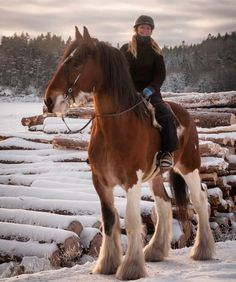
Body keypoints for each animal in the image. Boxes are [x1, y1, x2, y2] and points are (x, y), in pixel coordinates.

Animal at [43, 27, 215, 280]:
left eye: (75, 63)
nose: (49, 101)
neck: (116, 126)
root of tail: (186, 114)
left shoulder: (131, 180)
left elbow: (132, 222)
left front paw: (131, 267)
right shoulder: (100, 181)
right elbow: (109, 220)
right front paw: (107, 264)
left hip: (189, 167)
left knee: (200, 200)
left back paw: (202, 250)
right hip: (156, 176)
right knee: (164, 204)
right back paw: (155, 250)